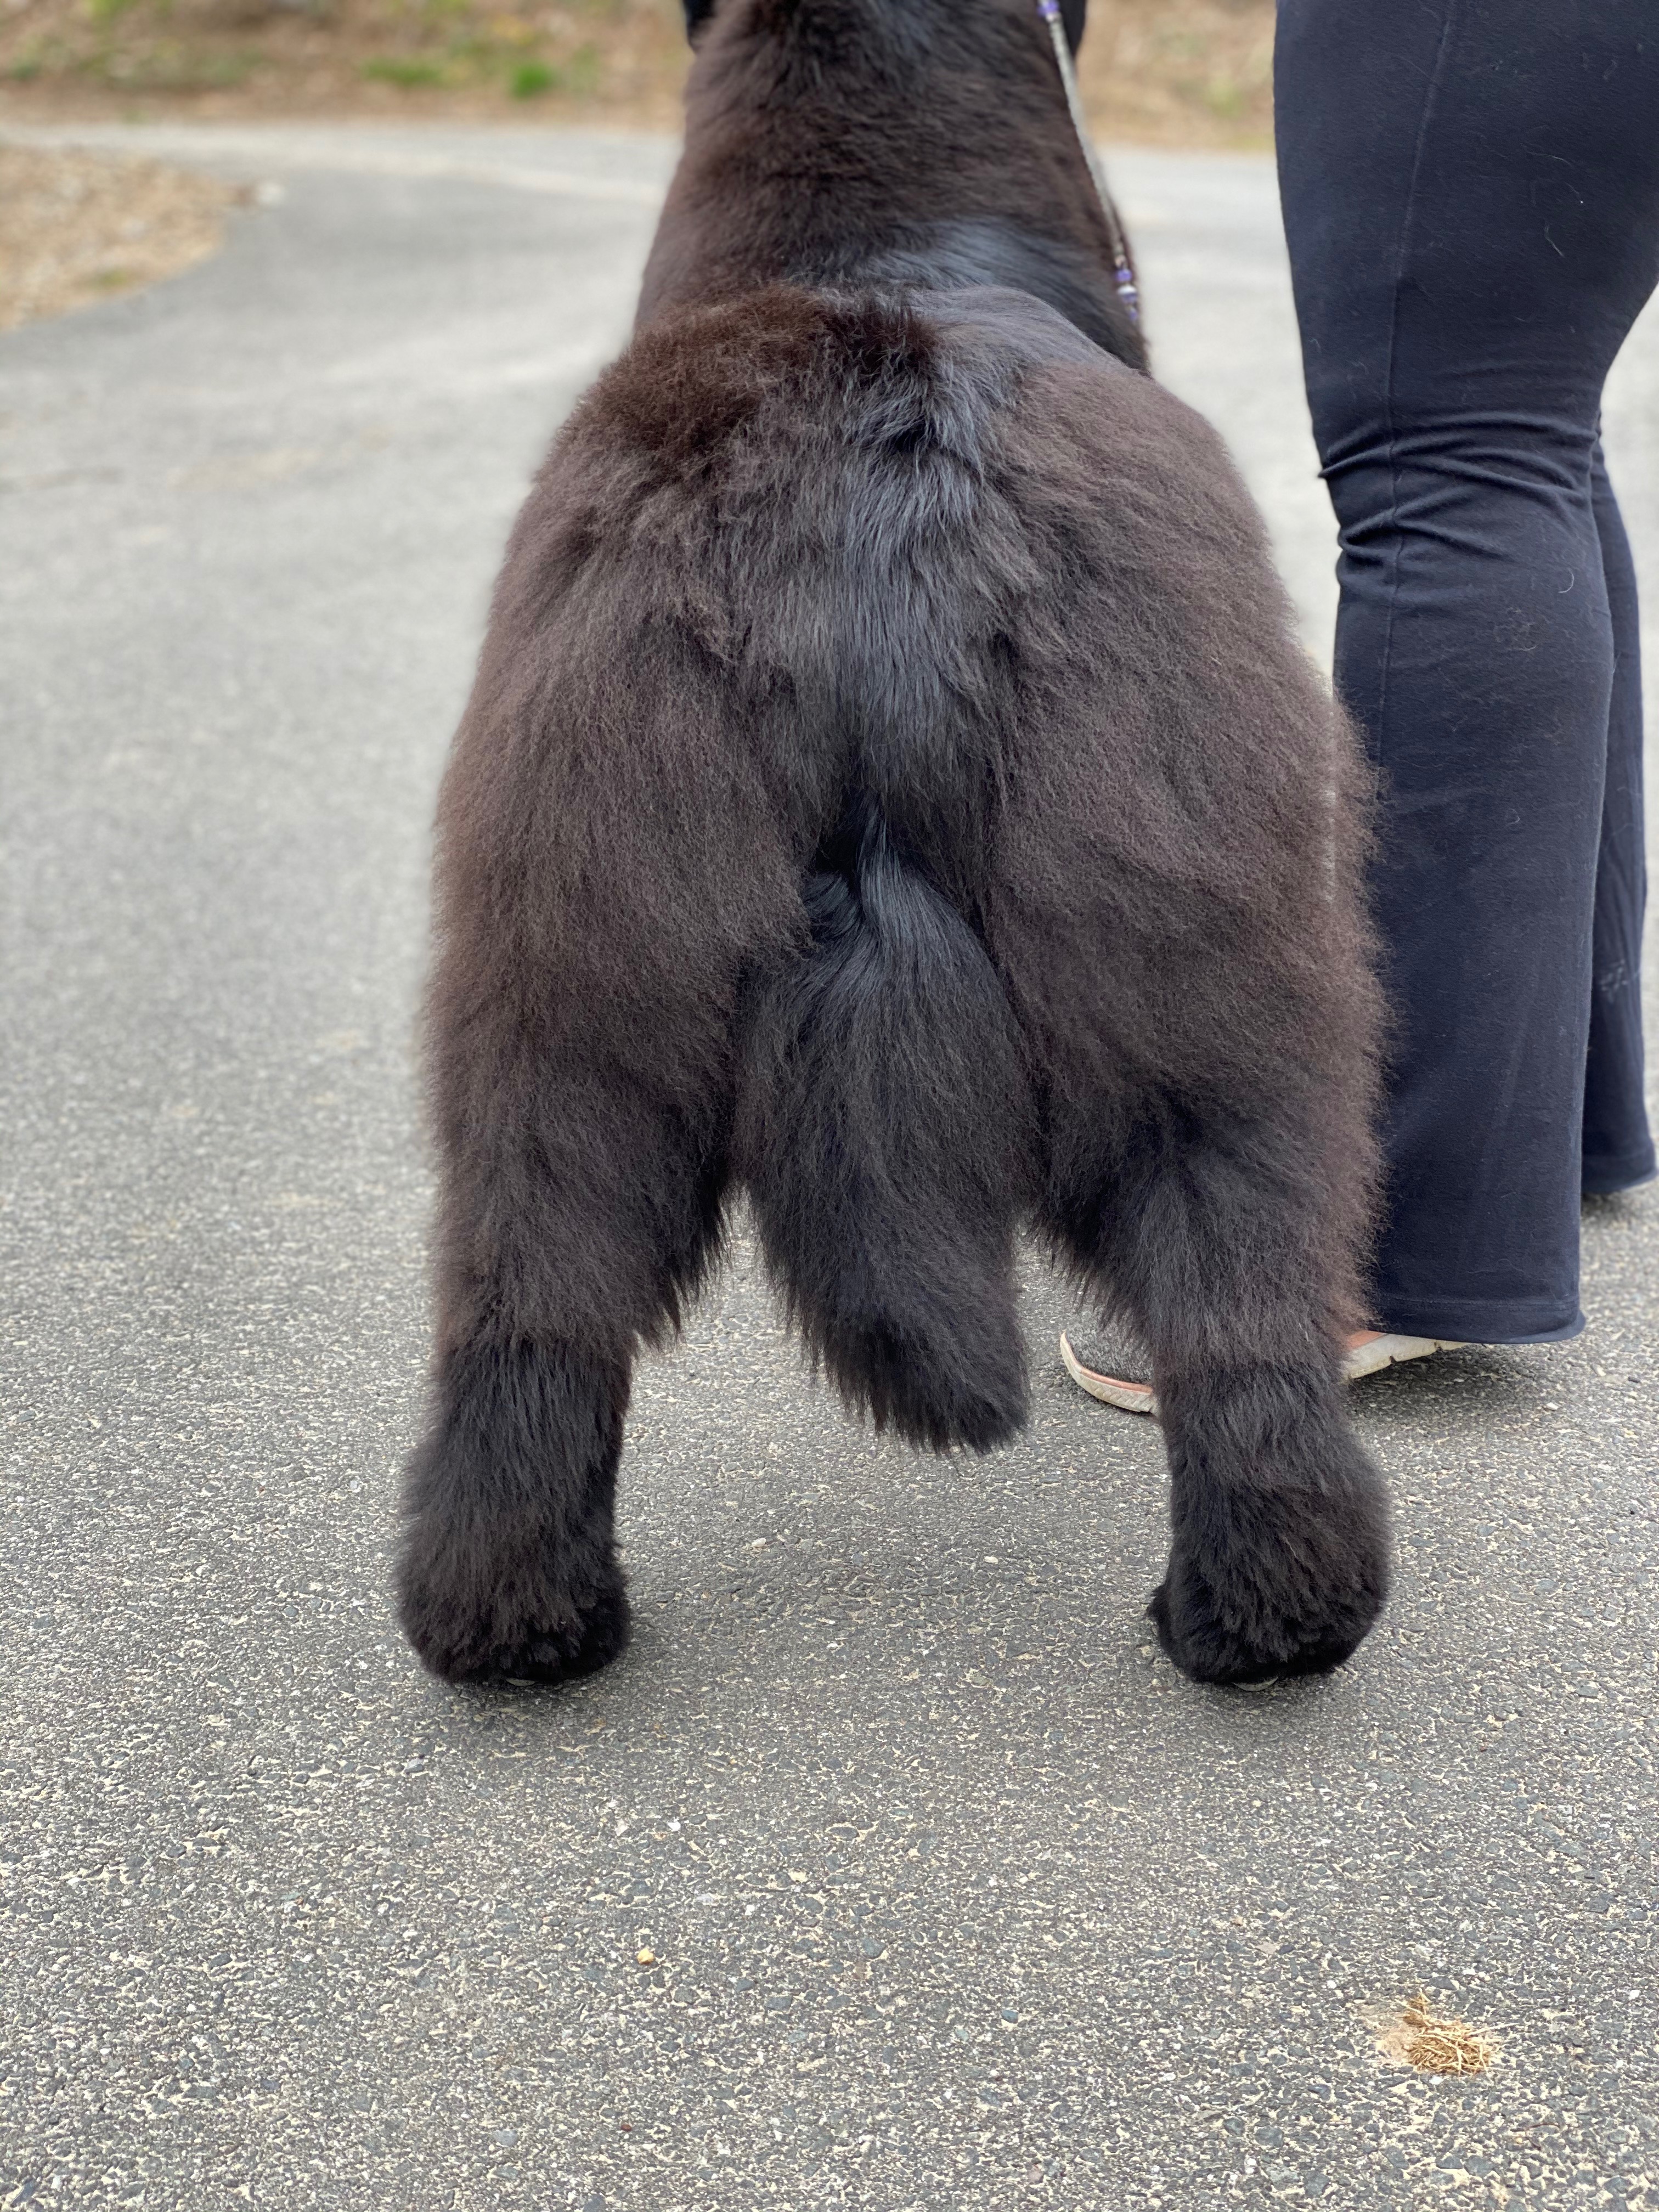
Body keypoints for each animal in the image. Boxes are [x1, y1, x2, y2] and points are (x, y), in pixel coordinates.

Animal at [397, 0, 1390, 1691]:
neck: (887, 234)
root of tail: (883, 535)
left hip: (569, 987)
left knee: (534, 1321)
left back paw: (514, 1625)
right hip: (1204, 972)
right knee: (1243, 1322)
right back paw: (1271, 1621)